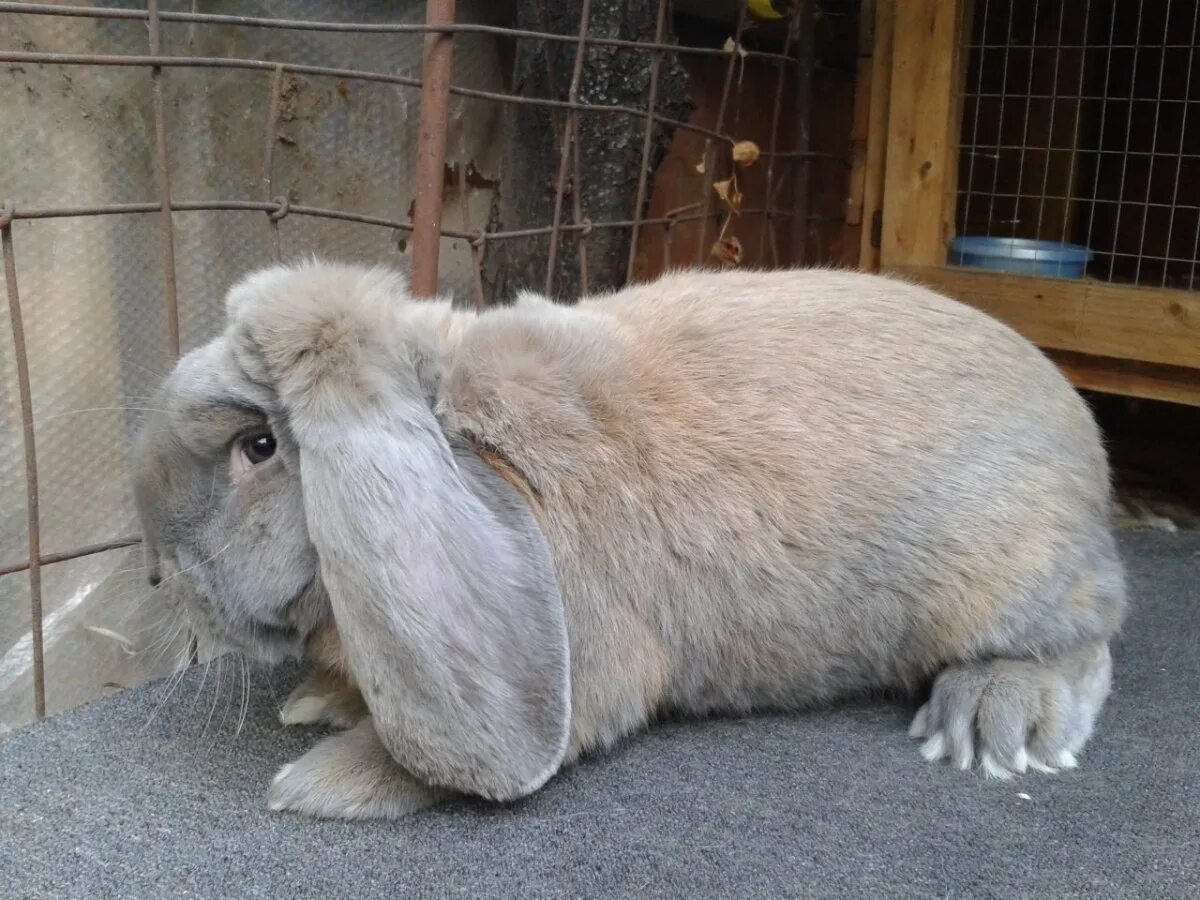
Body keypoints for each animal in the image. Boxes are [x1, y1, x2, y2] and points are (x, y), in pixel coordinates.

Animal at [131, 262, 1123, 825]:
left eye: (260, 447)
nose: (159, 569)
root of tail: (1086, 442)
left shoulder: (588, 662)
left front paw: (320, 785)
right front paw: (322, 702)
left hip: (1014, 579)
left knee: (1086, 641)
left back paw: (998, 723)